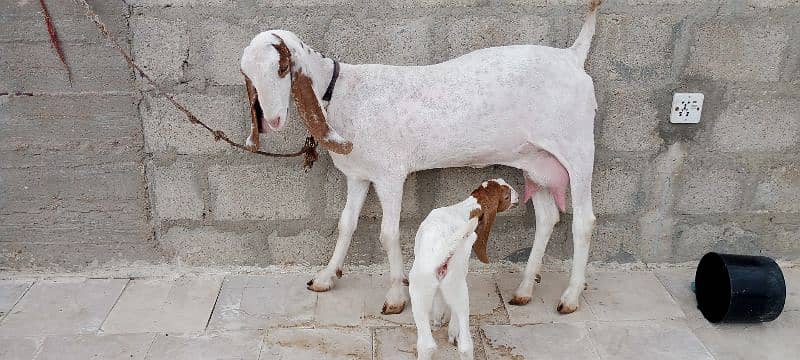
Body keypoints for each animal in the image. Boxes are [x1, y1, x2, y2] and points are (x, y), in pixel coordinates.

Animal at [241, 0, 604, 314]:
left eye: (283, 68)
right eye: (247, 74)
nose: (273, 120)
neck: (342, 92)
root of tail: (572, 57)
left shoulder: (390, 174)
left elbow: (388, 233)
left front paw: (396, 296)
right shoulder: (358, 174)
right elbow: (346, 224)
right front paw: (326, 277)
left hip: (577, 148)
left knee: (584, 221)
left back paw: (571, 296)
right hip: (535, 161)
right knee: (547, 218)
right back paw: (525, 290)